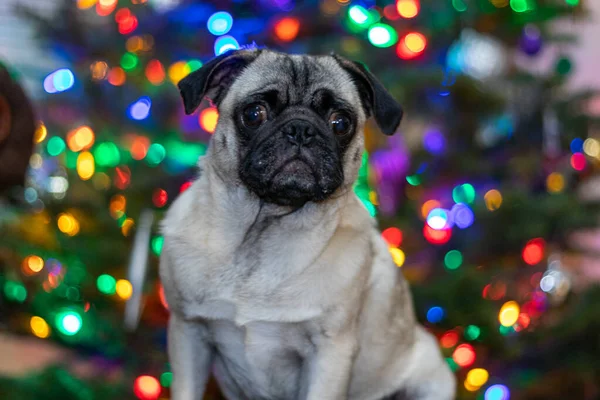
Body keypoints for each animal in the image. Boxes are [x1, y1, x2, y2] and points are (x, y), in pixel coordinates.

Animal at [159, 47, 454, 400]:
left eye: (340, 122)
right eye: (254, 114)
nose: (300, 129)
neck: (261, 231)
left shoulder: (329, 353)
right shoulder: (187, 332)